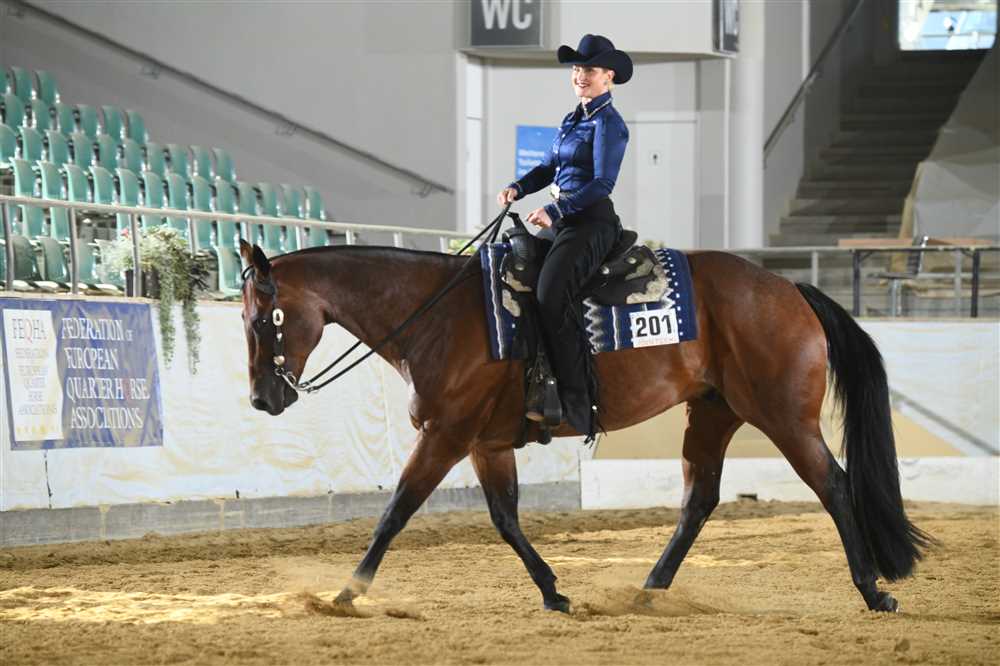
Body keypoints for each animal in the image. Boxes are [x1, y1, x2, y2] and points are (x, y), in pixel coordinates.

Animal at [237, 237, 929, 614]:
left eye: (263, 317)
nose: (262, 399)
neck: (439, 315)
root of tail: (788, 288)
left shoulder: (445, 435)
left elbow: (396, 511)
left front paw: (346, 594)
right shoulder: (486, 443)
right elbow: (505, 519)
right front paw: (553, 592)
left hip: (784, 417)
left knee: (833, 486)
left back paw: (874, 591)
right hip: (712, 413)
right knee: (699, 500)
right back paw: (649, 591)